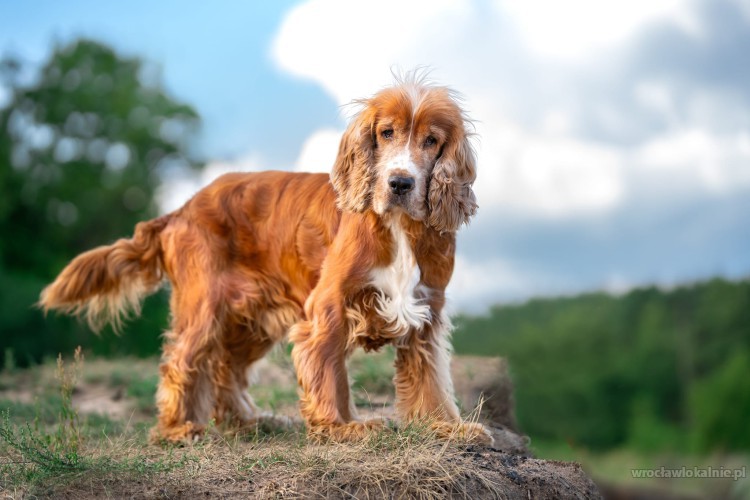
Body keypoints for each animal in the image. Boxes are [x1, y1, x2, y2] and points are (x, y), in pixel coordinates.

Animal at [39, 76, 494, 444]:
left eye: (431, 141)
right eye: (386, 132)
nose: (400, 183)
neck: (398, 228)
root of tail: (180, 209)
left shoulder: (426, 311)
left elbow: (431, 378)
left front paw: (446, 427)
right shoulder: (328, 308)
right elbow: (331, 373)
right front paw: (341, 427)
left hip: (252, 319)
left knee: (226, 367)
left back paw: (249, 420)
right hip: (204, 306)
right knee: (181, 362)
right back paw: (177, 429)